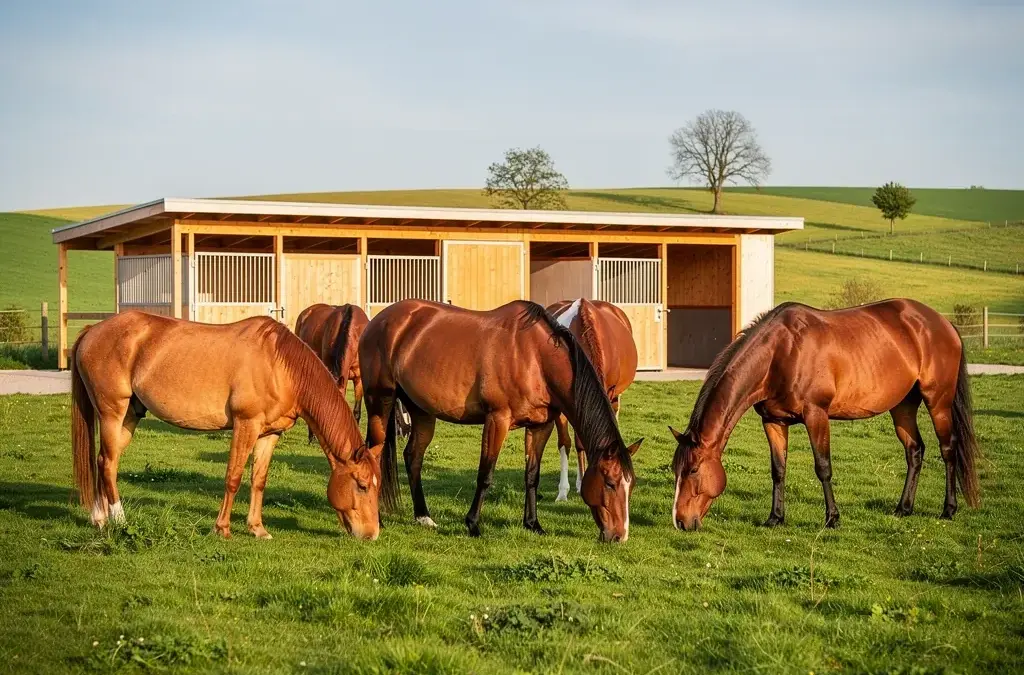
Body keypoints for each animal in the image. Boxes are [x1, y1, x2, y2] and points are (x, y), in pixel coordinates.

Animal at [70, 310, 383, 540]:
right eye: (362, 485)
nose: (371, 534)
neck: (280, 366)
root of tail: (92, 331)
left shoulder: (270, 434)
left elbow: (258, 480)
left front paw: (257, 529)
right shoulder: (246, 425)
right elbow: (233, 477)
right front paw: (222, 528)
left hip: (130, 417)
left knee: (103, 461)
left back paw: (99, 519)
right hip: (112, 413)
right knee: (108, 463)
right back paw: (119, 519)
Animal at [670, 298, 980, 531]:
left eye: (694, 470)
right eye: (675, 470)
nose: (681, 522)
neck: (781, 352)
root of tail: (942, 323)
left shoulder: (816, 415)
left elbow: (823, 467)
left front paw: (832, 518)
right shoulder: (773, 421)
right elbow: (778, 470)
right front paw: (775, 518)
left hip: (938, 402)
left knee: (948, 449)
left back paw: (948, 509)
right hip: (903, 405)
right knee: (915, 450)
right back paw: (903, 508)